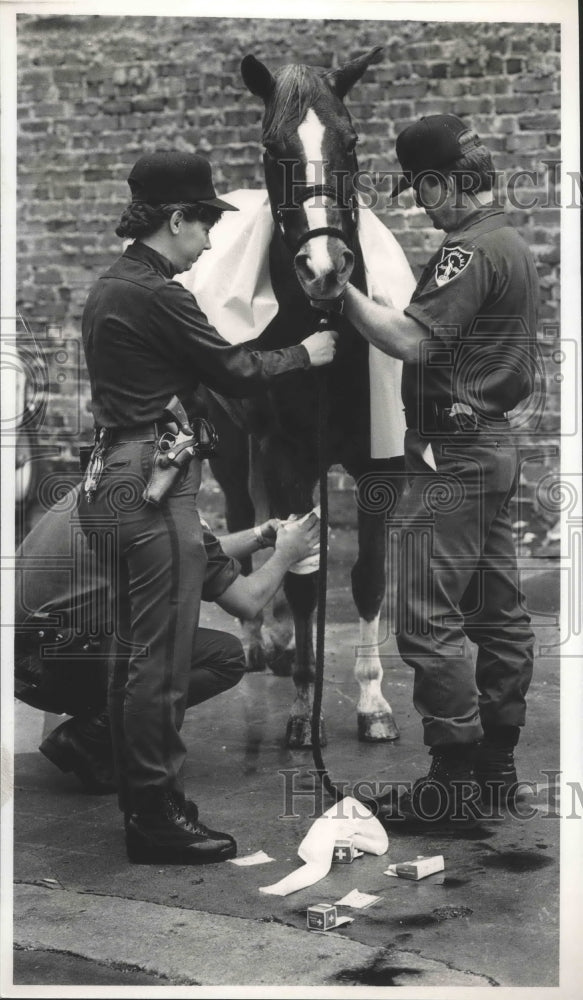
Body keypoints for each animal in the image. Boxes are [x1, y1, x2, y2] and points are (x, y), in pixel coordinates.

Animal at [197, 48, 410, 752]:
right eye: (272, 147)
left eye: (353, 140)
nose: (325, 267)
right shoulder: (286, 453)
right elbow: (301, 576)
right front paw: (301, 709)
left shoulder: (379, 465)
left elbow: (366, 578)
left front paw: (372, 703)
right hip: (227, 438)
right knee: (242, 518)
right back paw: (259, 641)